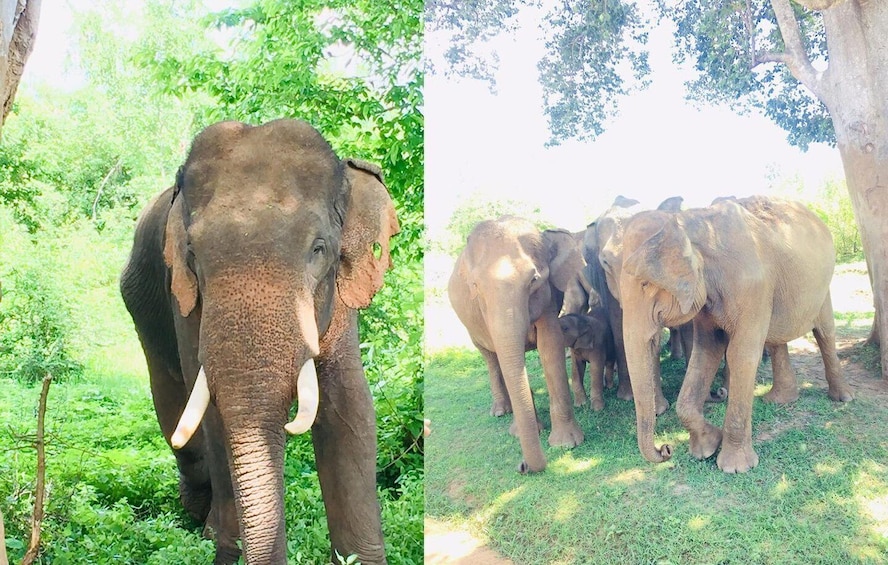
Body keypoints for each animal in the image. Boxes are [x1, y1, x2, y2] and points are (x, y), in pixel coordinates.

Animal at [119, 117, 398, 560]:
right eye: (192, 255)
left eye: (319, 249)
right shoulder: (183, 298)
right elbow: (210, 408)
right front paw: (225, 549)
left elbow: (350, 403)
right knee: (179, 424)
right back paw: (201, 521)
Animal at [448, 216, 588, 472]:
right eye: (475, 286)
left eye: (533, 280)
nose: (522, 467)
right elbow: (503, 353)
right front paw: (518, 432)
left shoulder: (548, 297)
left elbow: (550, 346)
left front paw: (566, 443)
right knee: (490, 358)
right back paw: (500, 411)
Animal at [616, 194, 852, 472]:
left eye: (645, 284)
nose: (666, 449)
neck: (689, 220)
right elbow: (705, 352)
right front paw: (706, 448)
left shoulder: (753, 288)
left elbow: (741, 355)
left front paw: (735, 468)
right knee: (776, 339)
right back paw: (780, 401)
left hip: (822, 287)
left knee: (825, 332)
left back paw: (843, 398)